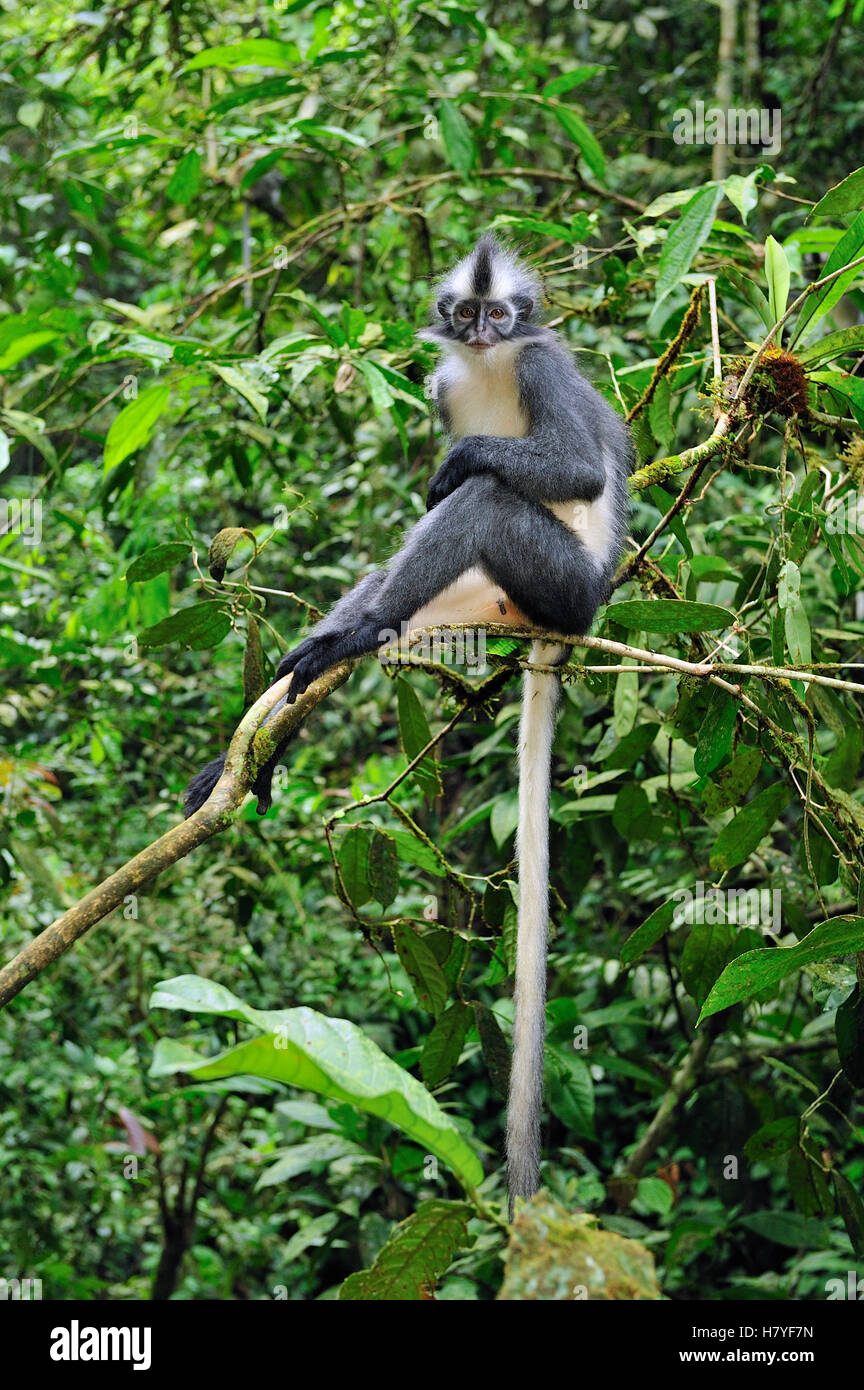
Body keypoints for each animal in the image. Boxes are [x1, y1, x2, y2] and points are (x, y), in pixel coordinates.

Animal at [184, 234, 633, 1212]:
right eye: (465, 316)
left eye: (502, 314)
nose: (484, 328)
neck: (490, 368)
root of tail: (567, 622)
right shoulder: (443, 383)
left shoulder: (538, 363)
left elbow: (570, 470)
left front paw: (465, 459)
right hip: (489, 599)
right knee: (404, 570)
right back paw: (301, 689)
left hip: (557, 583)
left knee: (482, 502)